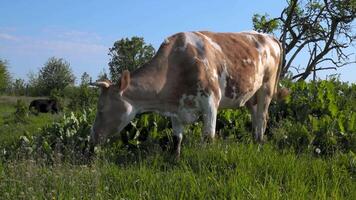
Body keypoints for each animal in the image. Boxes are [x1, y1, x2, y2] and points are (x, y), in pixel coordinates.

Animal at [89, 30, 284, 156]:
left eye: (101, 109)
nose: (92, 138)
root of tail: (269, 36)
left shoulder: (211, 102)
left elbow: (208, 137)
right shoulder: (176, 108)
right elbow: (177, 139)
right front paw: (174, 160)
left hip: (266, 88)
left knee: (262, 117)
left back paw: (259, 145)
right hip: (251, 95)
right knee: (256, 117)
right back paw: (254, 141)